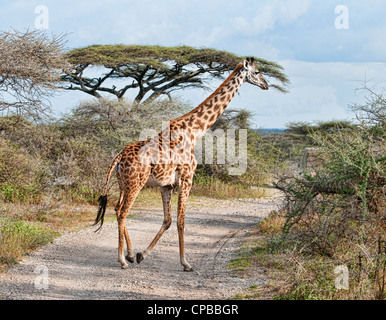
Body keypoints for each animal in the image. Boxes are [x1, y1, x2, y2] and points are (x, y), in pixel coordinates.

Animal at [93, 57, 268, 270]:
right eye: (257, 72)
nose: (266, 85)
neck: (194, 131)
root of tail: (118, 157)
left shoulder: (166, 184)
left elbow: (168, 220)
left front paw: (142, 254)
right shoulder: (186, 178)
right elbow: (181, 221)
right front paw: (186, 263)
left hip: (123, 183)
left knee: (118, 209)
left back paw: (129, 255)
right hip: (136, 183)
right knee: (123, 212)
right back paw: (122, 260)